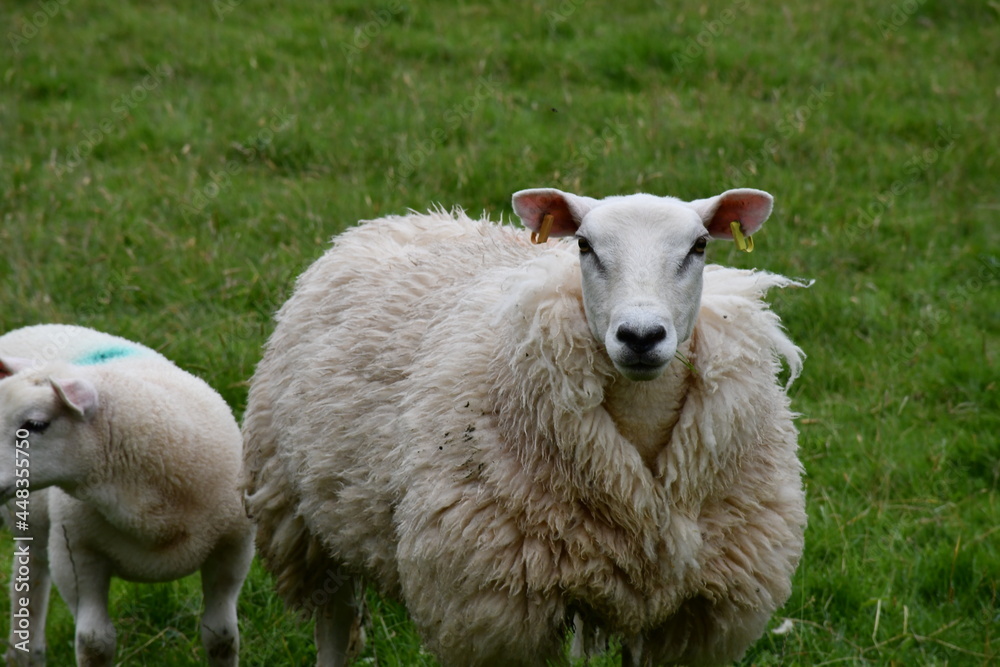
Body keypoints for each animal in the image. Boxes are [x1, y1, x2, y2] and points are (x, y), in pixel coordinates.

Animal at [0, 324, 254, 667]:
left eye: (35, 424)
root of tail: (35, 326)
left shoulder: (233, 547)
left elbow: (221, 638)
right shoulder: (75, 553)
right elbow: (94, 643)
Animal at [242, 187, 808, 666]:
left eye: (698, 246)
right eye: (585, 245)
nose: (641, 336)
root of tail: (401, 218)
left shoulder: (688, 617)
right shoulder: (500, 612)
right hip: (304, 518)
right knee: (334, 623)